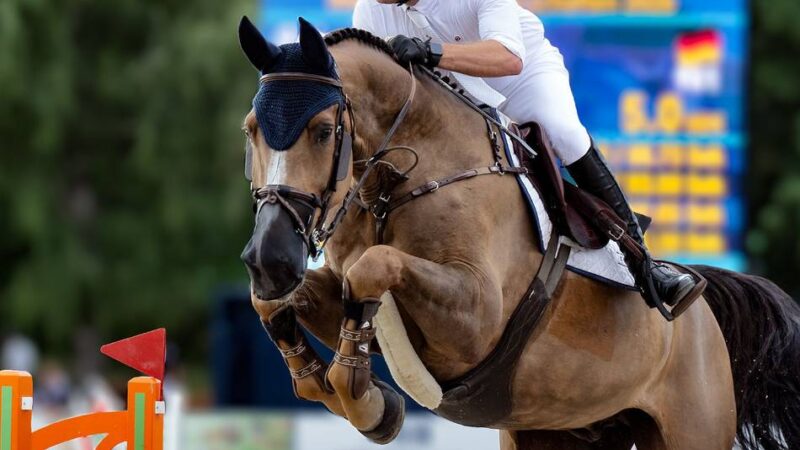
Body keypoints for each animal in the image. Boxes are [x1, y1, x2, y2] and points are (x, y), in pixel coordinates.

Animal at [237, 17, 800, 450]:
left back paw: (663, 279)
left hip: (689, 427)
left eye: (322, 131)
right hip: (560, 429)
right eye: (250, 131)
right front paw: (330, 386)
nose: (270, 259)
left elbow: (375, 265)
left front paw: (366, 401)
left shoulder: (475, 318)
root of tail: (704, 312)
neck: (394, 185)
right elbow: (276, 303)